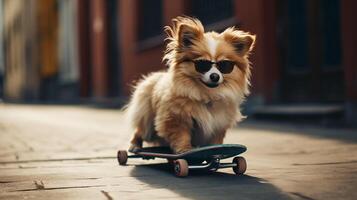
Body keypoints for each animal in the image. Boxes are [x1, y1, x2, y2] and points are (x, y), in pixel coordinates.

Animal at [124, 16, 254, 153]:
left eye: (225, 65)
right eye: (202, 64)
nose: (215, 76)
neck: (206, 96)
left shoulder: (218, 124)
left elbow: (215, 141)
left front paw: (217, 150)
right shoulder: (176, 119)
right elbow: (182, 135)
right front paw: (185, 150)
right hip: (148, 122)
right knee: (139, 131)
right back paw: (134, 146)